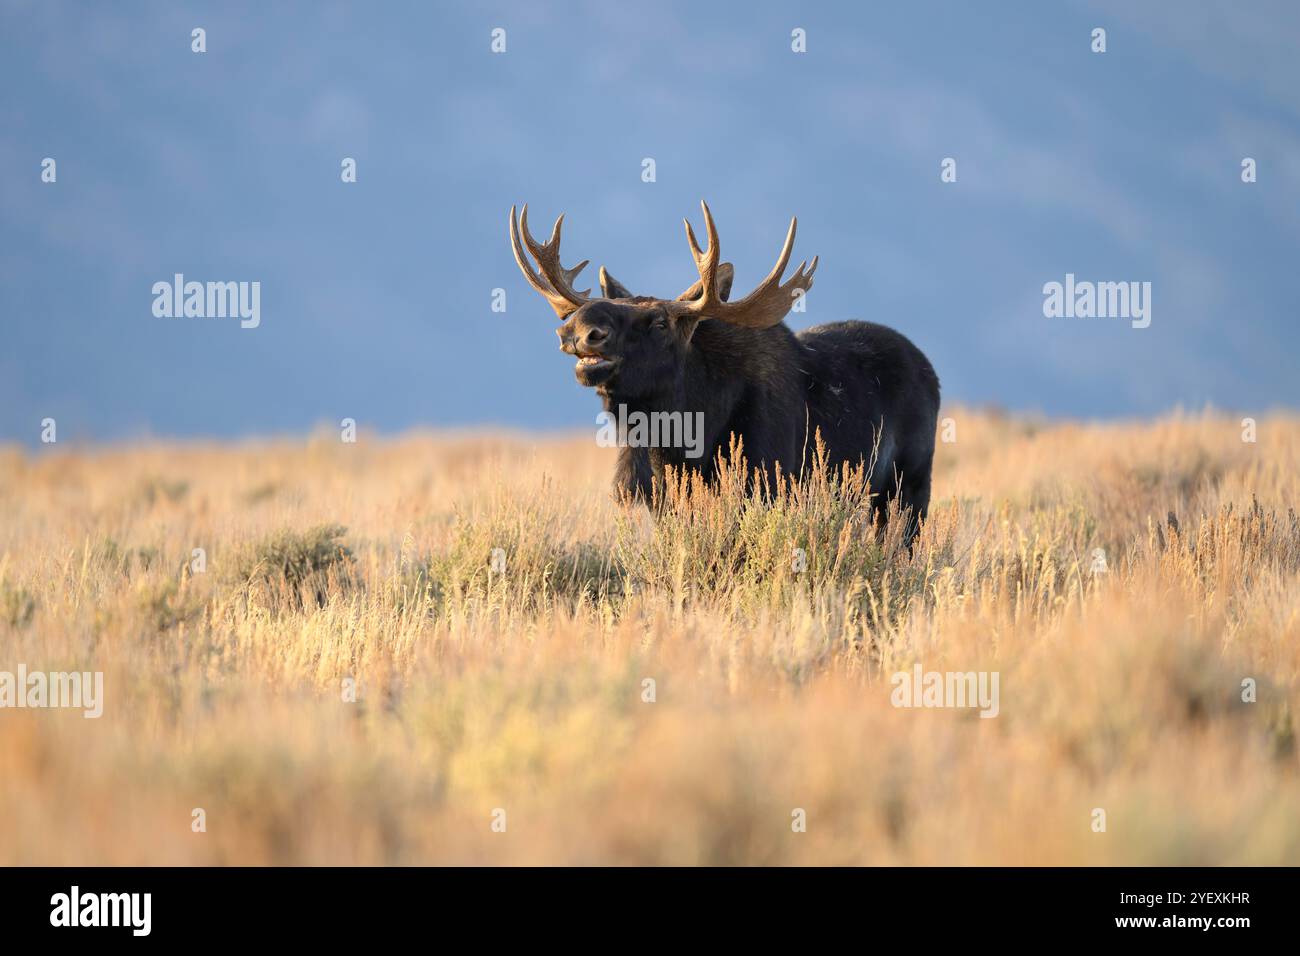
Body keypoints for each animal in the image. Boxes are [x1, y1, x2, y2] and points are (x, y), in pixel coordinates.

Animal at [509, 201, 946, 538]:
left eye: (660, 322)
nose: (579, 330)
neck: (681, 440)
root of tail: (930, 371)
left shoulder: (766, 487)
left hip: (910, 486)